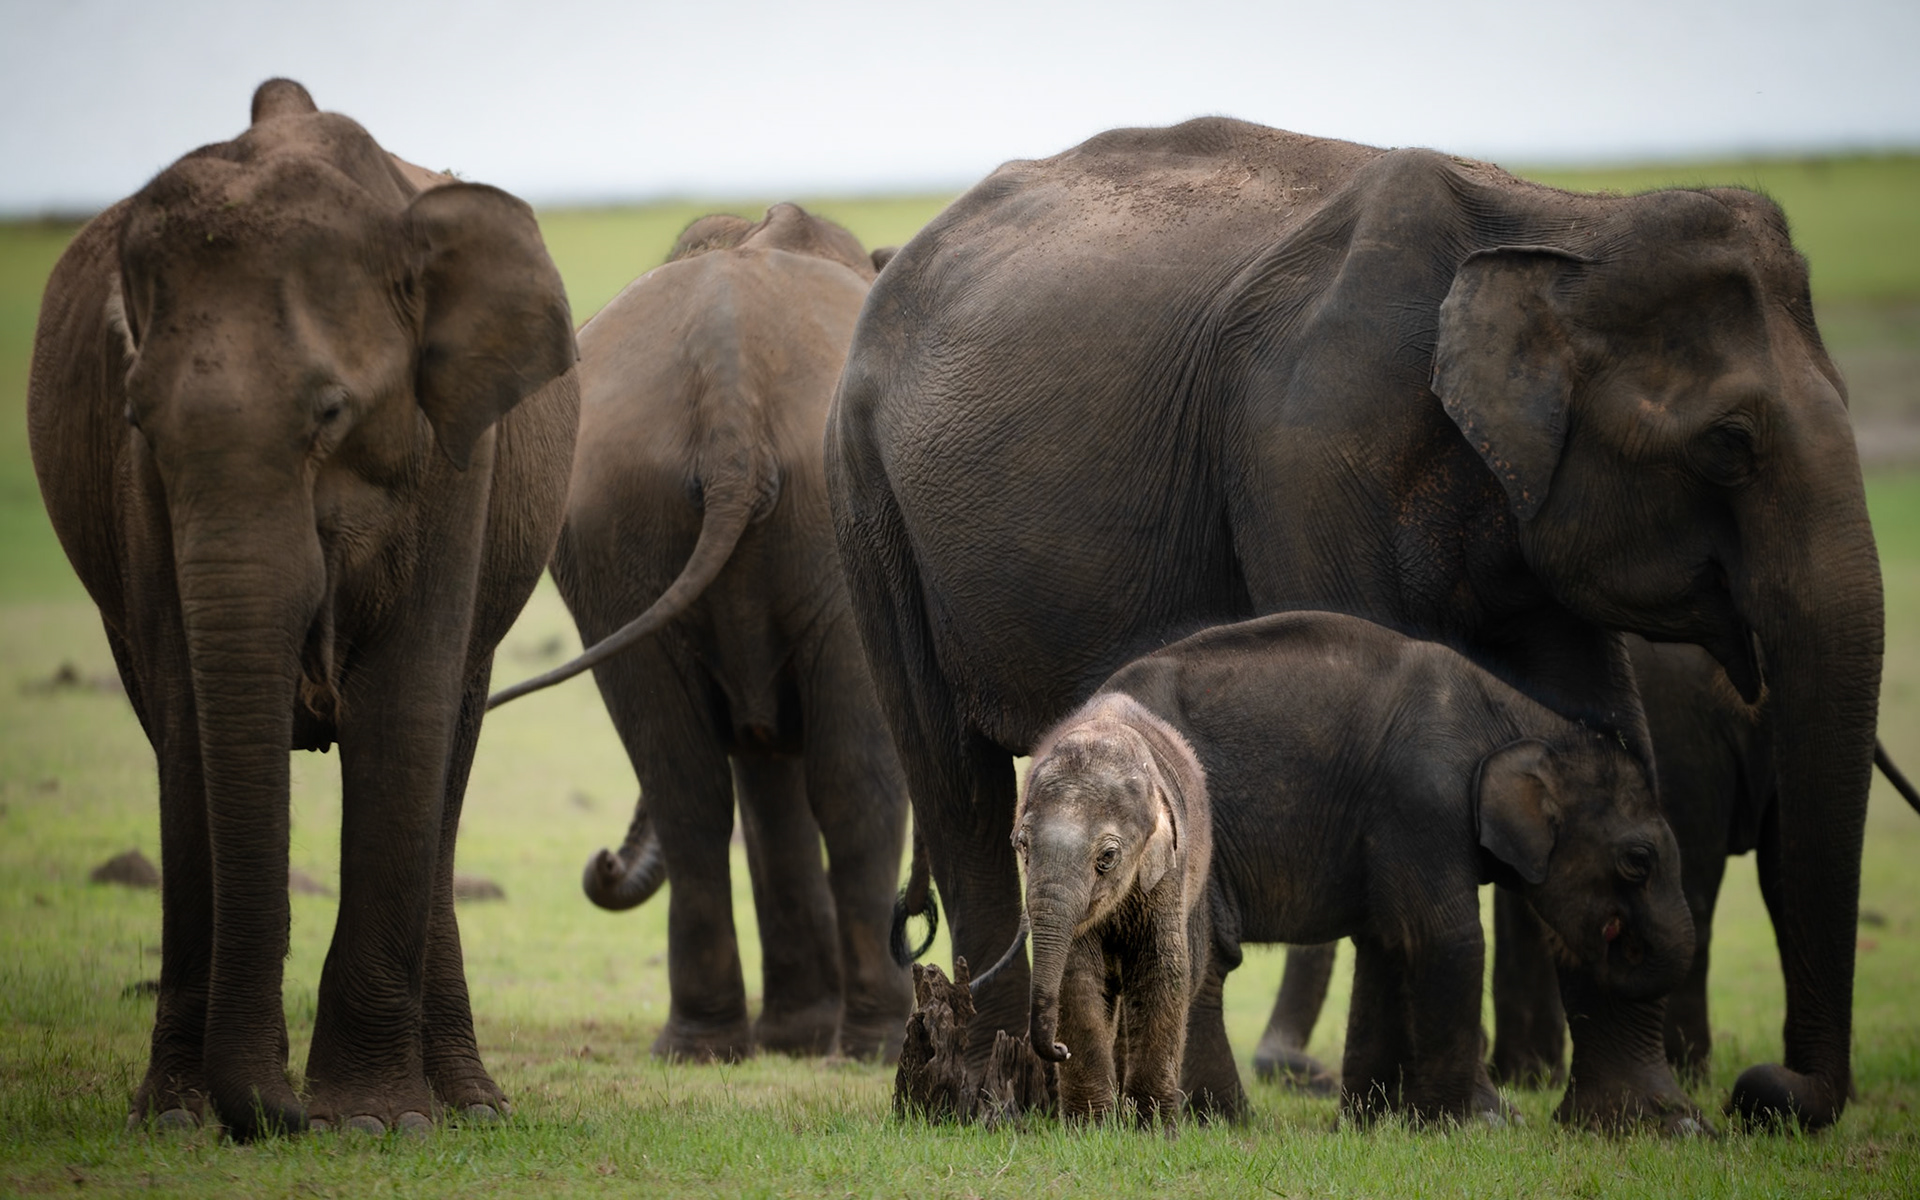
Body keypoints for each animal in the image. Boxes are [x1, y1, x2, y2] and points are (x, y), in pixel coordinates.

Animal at [26, 80, 579, 1137]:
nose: (282, 1114)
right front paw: (180, 1118)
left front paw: (372, 1122)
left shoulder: (459, 452)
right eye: (137, 416)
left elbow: (405, 713)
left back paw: (469, 1106)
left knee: (448, 753)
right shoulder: (142, 489)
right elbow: (188, 721)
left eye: (330, 413)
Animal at [487, 205, 912, 1061]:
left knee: (687, 789)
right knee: (855, 789)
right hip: (823, 527)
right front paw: (804, 1040)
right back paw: (878, 1042)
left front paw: (793, 1041)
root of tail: (731, 401)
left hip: (613, 522)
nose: (602, 862)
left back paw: (700, 1045)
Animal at [1009, 692, 1211, 1125]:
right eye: (1022, 845)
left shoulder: (1167, 874)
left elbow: (1162, 971)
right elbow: (1076, 975)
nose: (1058, 1049)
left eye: (1107, 857)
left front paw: (1153, 1128)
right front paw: (1092, 1126)